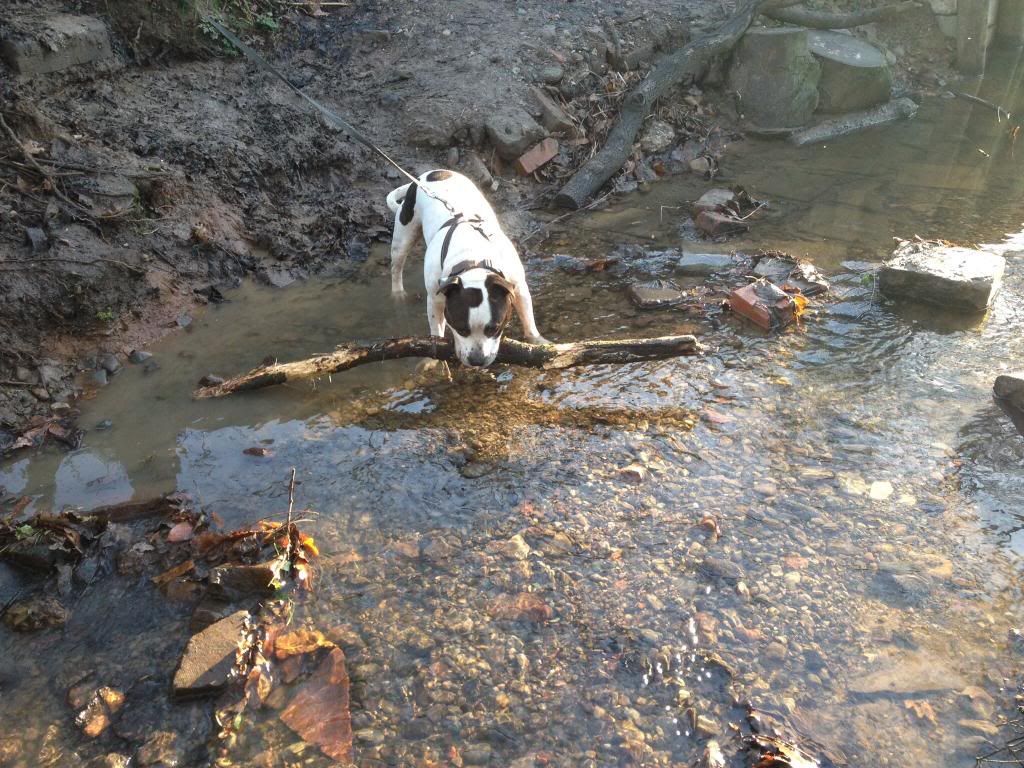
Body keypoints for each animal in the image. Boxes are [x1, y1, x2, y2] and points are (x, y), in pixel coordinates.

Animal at [385, 169, 548, 368]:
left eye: (494, 328)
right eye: (461, 328)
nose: (477, 360)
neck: (474, 259)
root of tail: (432, 173)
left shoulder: (517, 287)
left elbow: (528, 317)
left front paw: (538, 341)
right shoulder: (435, 298)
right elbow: (435, 331)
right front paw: (432, 357)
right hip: (404, 234)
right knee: (396, 266)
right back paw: (397, 293)